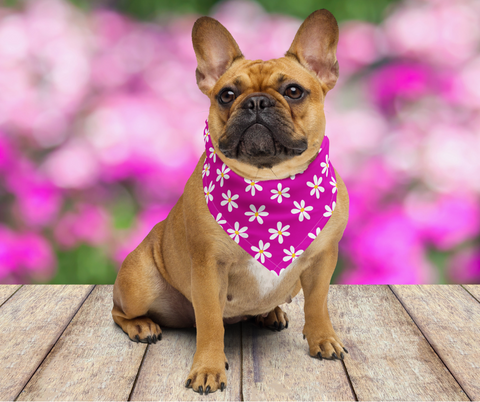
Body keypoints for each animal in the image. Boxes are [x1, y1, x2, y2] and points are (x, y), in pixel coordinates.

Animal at [112, 8, 348, 396]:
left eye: (294, 91)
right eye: (226, 94)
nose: (256, 101)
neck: (269, 184)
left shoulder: (322, 260)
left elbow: (318, 304)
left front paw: (323, 339)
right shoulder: (209, 268)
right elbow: (210, 323)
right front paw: (208, 368)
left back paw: (270, 313)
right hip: (139, 283)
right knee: (120, 311)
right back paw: (143, 326)